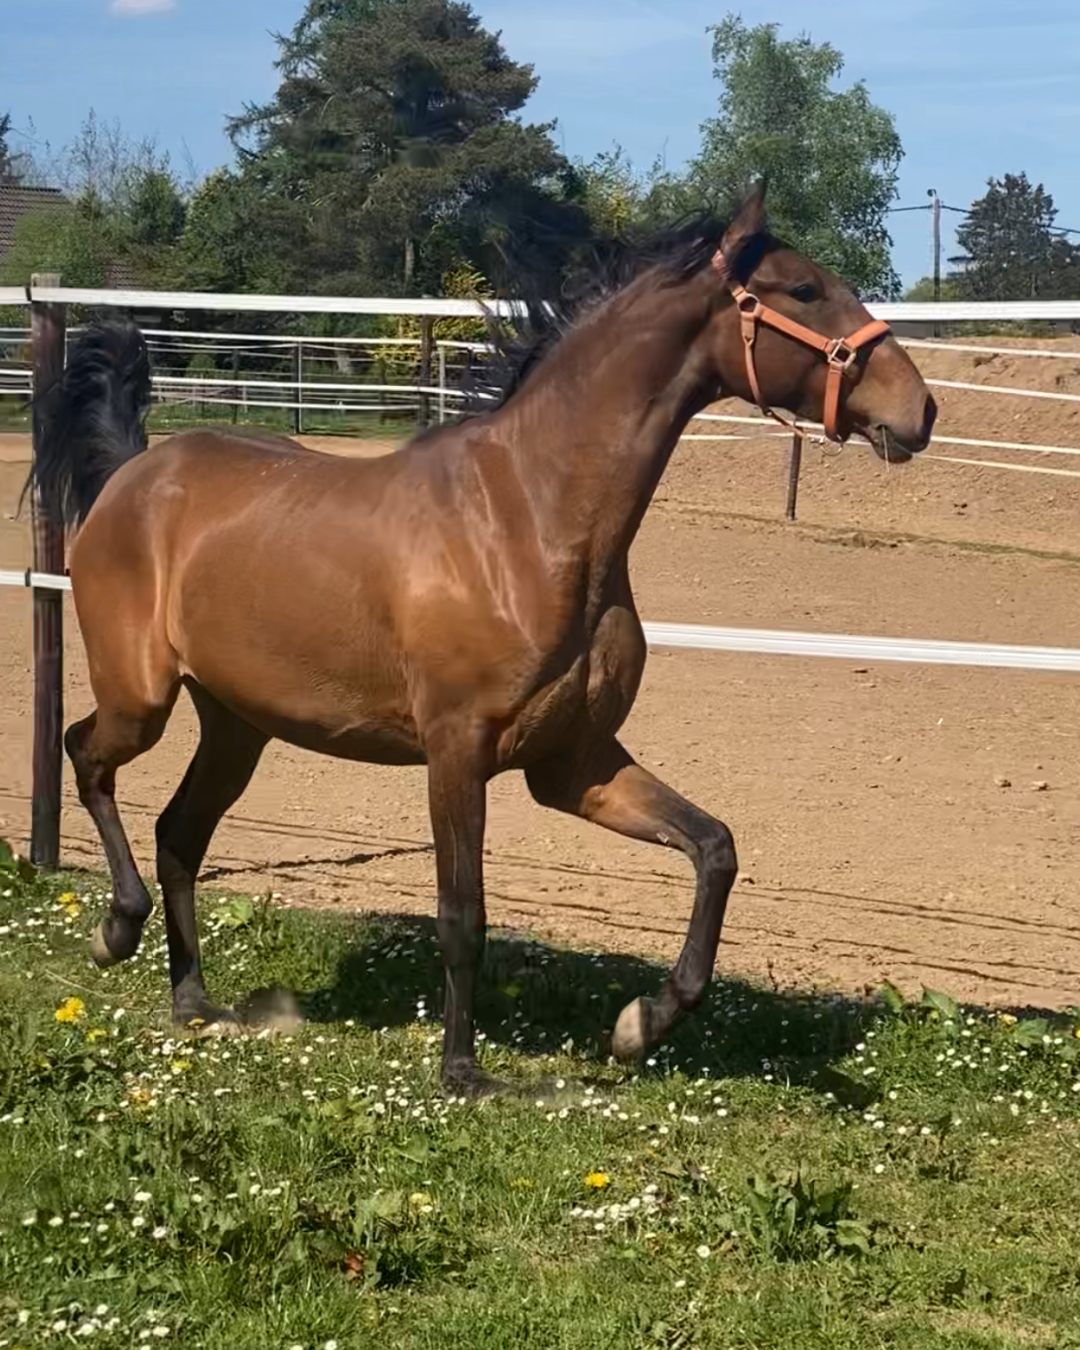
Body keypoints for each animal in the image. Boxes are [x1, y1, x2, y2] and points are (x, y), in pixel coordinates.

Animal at [31, 185, 935, 1093]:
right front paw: (464, 1072)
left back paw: (193, 1001)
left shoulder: (571, 761)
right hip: (142, 698)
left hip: (237, 725)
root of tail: (135, 473)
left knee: (178, 832)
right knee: (85, 755)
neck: (527, 521)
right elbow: (463, 911)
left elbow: (713, 847)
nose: (920, 410)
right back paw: (116, 931)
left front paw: (639, 1025)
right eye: (804, 290)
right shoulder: (458, 751)